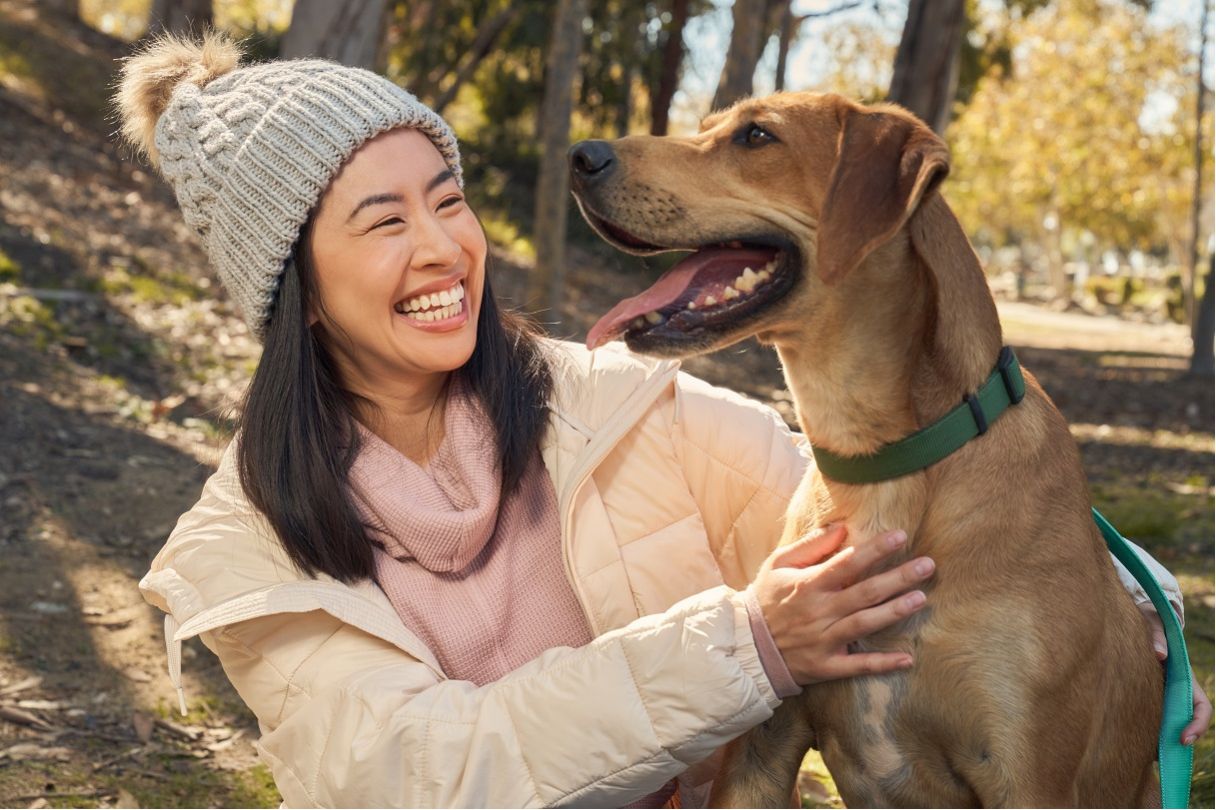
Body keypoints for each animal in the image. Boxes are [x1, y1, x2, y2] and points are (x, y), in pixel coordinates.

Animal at [564, 91, 1162, 802]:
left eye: (756, 136)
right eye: (708, 126)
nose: (580, 155)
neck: (879, 463)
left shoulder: (1028, 779)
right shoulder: (763, 744)